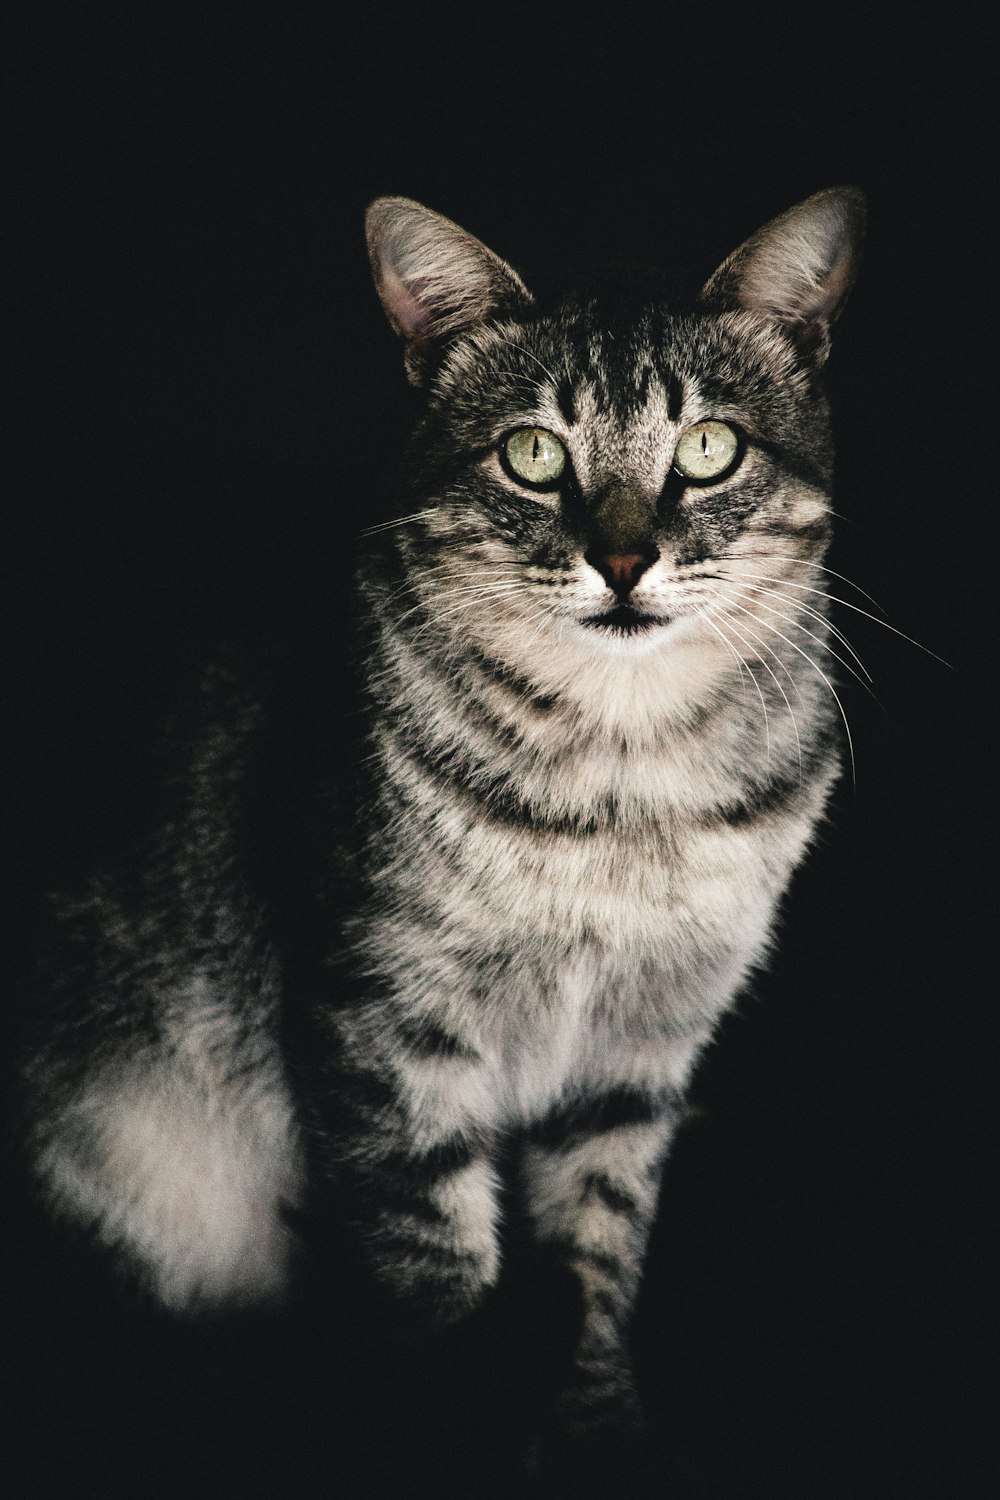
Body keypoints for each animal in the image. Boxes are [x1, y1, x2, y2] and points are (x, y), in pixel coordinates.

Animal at [21, 184, 869, 1476]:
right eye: (532, 454)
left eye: (708, 447)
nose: (624, 559)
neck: (624, 790)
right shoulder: (386, 1026)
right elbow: (435, 1269)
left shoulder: (638, 1051)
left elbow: (598, 1253)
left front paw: (595, 1432)